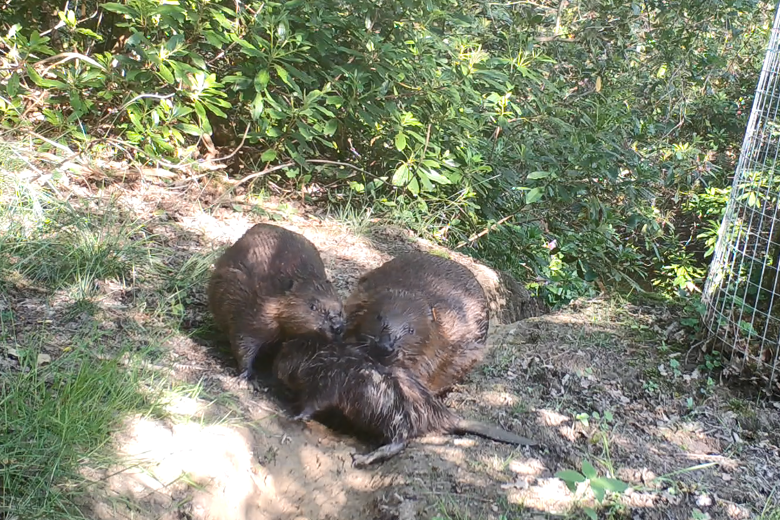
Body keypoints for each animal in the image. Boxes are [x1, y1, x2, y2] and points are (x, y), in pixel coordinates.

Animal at [207, 221, 344, 380]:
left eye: (341, 311)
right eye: (313, 306)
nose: (337, 327)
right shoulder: (252, 310)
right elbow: (243, 341)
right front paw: (246, 375)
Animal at [272, 334, 536, 468]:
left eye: (287, 351)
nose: (276, 367)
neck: (328, 357)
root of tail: (448, 416)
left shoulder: (331, 380)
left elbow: (316, 402)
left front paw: (294, 414)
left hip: (396, 414)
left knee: (400, 441)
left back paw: (364, 458)